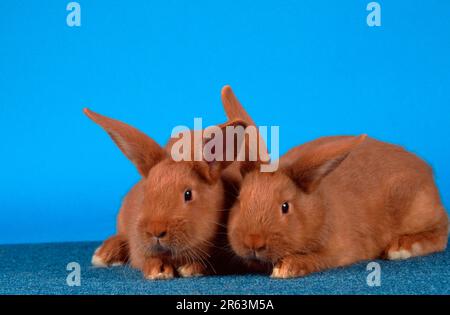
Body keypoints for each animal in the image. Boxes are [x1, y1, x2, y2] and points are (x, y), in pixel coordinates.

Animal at [85, 86, 258, 278]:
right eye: (145, 193)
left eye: (188, 194)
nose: (156, 231)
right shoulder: (139, 247)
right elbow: (145, 258)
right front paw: (158, 270)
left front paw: (191, 268)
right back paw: (103, 254)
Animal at [230, 135, 448, 278]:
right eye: (239, 199)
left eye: (285, 206)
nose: (253, 242)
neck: (320, 208)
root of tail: (426, 171)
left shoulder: (341, 250)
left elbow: (320, 257)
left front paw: (286, 268)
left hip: (418, 208)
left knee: (442, 230)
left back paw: (401, 248)